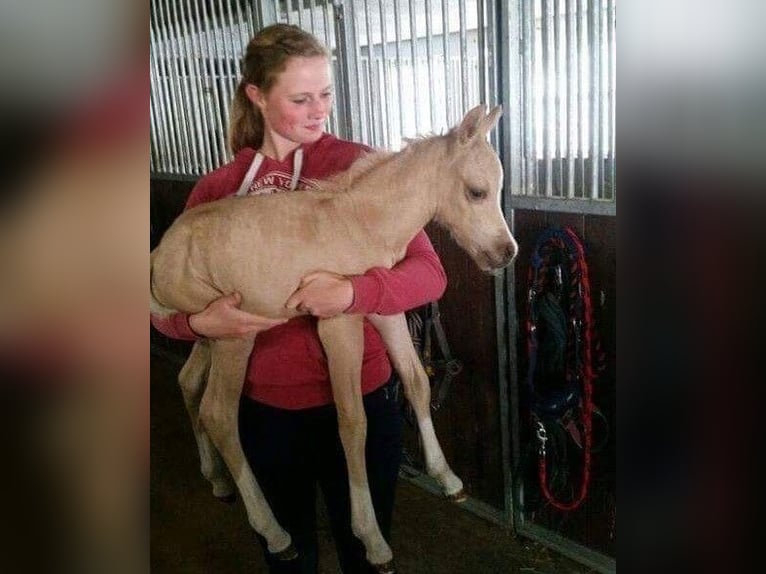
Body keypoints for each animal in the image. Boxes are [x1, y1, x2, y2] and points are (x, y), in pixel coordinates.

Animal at [152, 106, 516, 572]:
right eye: (476, 192)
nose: (506, 253)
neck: (363, 222)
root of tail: (158, 257)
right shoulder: (337, 323)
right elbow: (352, 420)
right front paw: (372, 538)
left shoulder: (383, 309)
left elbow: (416, 381)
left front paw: (448, 478)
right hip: (234, 333)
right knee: (218, 413)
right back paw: (276, 534)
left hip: (208, 334)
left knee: (189, 382)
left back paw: (217, 480)